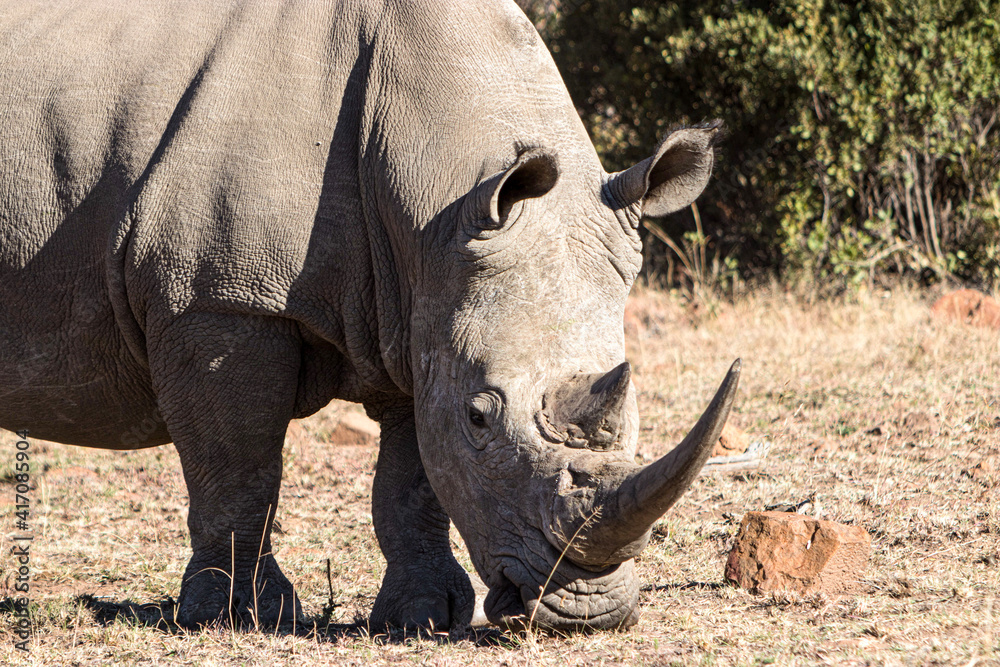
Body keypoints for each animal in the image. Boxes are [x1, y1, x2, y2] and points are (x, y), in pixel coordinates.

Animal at [0, 0, 739, 632]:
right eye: (481, 417)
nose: (587, 611)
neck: (435, 197)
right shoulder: (217, 297)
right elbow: (238, 466)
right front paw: (239, 617)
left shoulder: (422, 305)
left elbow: (412, 483)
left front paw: (424, 618)